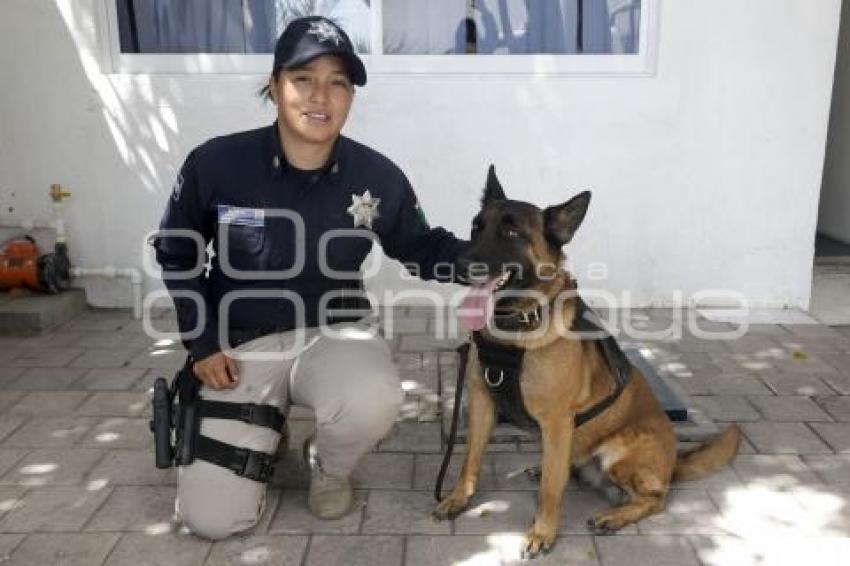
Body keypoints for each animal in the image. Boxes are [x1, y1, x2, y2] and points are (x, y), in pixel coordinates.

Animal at [430, 168, 736, 560]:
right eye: (475, 227)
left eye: (512, 233)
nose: (459, 265)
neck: (516, 331)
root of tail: (673, 463)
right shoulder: (483, 402)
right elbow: (469, 460)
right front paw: (458, 499)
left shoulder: (557, 420)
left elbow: (550, 490)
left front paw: (542, 533)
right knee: (567, 468)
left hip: (620, 453)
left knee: (656, 499)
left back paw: (614, 516)